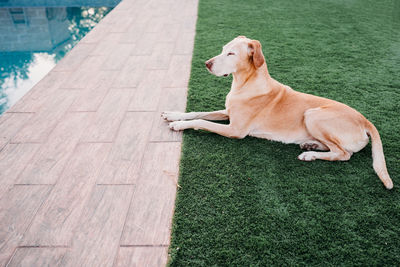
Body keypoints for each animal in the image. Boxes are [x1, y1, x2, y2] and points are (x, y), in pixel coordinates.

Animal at [161, 36, 392, 191]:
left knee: (344, 154)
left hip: (312, 114)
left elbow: (202, 121)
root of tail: (366, 121)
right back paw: (311, 145)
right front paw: (174, 114)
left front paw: (179, 125)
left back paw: (310, 154)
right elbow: (198, 112)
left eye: (231, 53)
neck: (244, 83)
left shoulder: (235, 130)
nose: (207, 64)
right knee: (337, 149)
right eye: (223, 49)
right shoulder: (227, 113)